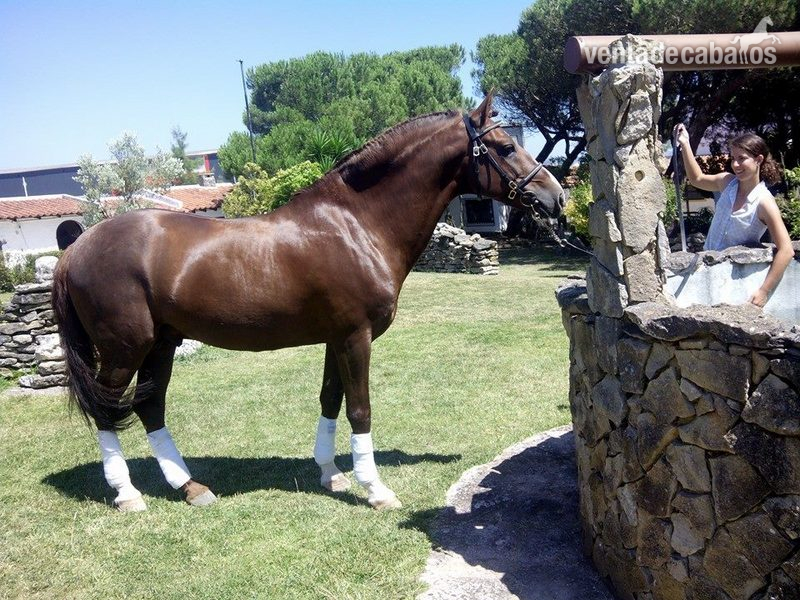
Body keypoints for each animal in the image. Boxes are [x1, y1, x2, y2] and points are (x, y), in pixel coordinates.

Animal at [51, 93, 565, 512]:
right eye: (505, 147)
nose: (557, 197)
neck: (357, 223)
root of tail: (78, 246)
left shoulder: (336, 339)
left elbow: (330, 400)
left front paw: (331, 474)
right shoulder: (355, 337)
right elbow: (359, 409)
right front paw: (375, 489)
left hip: (161, 344)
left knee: (150, 408)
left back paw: (190, 488)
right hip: (124, 349)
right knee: (107, 412)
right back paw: (127, 494)